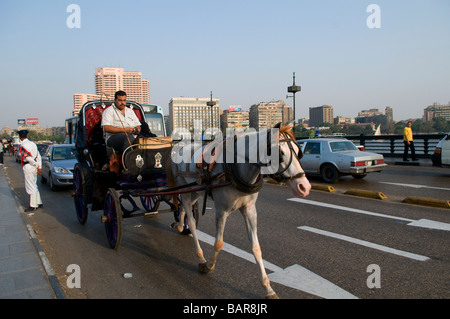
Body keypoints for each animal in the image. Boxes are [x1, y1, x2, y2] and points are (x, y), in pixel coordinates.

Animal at [169, 124, 310, 298]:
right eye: (280, 154)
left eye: (298, 152)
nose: (304, 187)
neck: (237, 167)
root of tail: (180, 147)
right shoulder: (221, 211)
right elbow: (218, 243)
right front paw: (209, 266)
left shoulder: (250, 210)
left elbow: (256, 248)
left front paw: (268, 288)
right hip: (185, 190)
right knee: (192, 221)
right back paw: (200, 256)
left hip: (195, 191)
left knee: (182, 207)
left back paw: (180, 225)